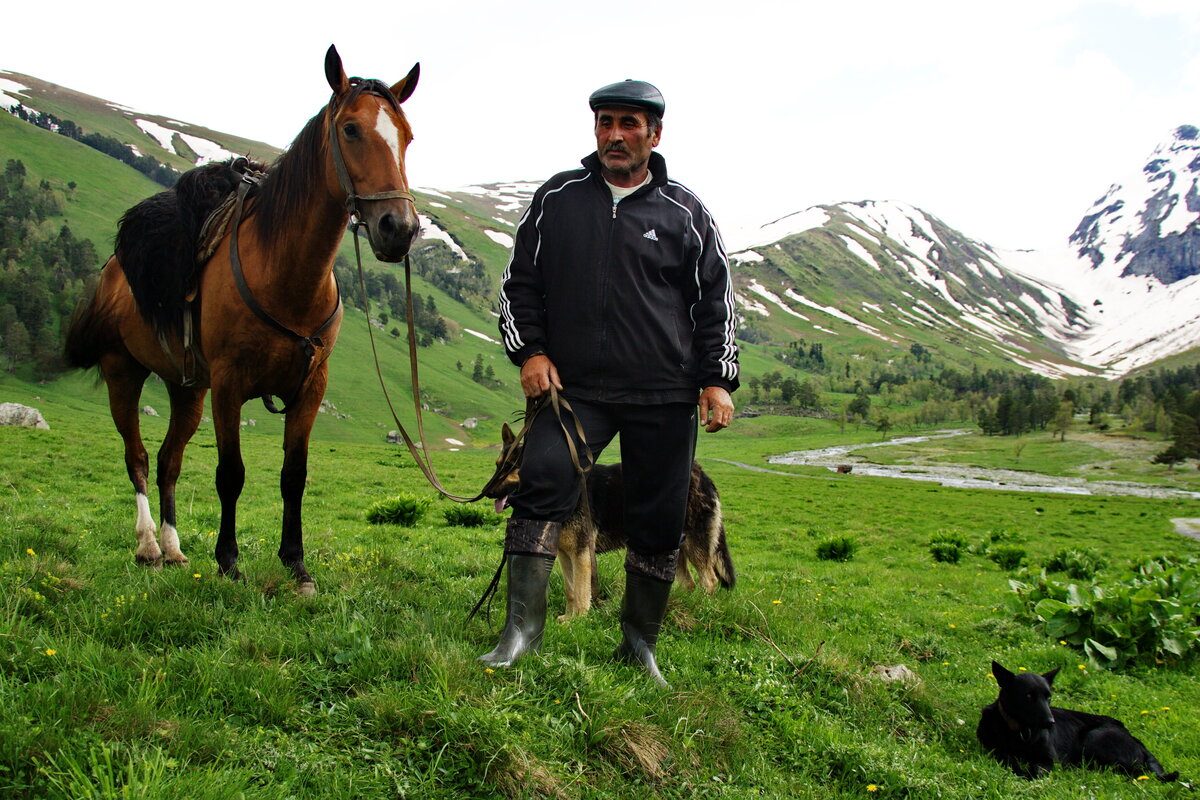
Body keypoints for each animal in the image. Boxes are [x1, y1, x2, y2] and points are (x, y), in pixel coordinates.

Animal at [65, 45, 424, 594]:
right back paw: (148, 546)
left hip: (188, 391)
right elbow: (230, 473)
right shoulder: (230, 384)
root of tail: (112, 270)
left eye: (406, 136)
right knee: (139, 458)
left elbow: (293, 476)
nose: (398, 229)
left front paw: (296, 564)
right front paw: (229, 561)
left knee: (169, 462)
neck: (285, 273)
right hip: (123, 373)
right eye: (350, 130)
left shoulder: (309, 387)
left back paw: (173, 548)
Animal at [484, 424, 729, 618]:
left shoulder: (581, 554)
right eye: (498, 465)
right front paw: (568, 618)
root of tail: (701, 473)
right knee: (688, 583)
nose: (486, 492)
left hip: (695, 546)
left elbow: (581, 592)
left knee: (709, 581)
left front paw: (577, 622)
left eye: (513, 467)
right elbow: (570, 590)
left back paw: (701, 610)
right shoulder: (564, 555)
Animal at [974, 662, 1180, 782]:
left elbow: (1037, 771)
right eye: (1028, 696)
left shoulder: (1049, 758)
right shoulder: (996, 749)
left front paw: (1027, 774)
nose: (1050, 722)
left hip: (1094, 737)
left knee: (1136, 771)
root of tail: (1137, 741)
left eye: (1049, 697)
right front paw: (1019, 770)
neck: (1022, 732)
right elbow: (1009, 760)